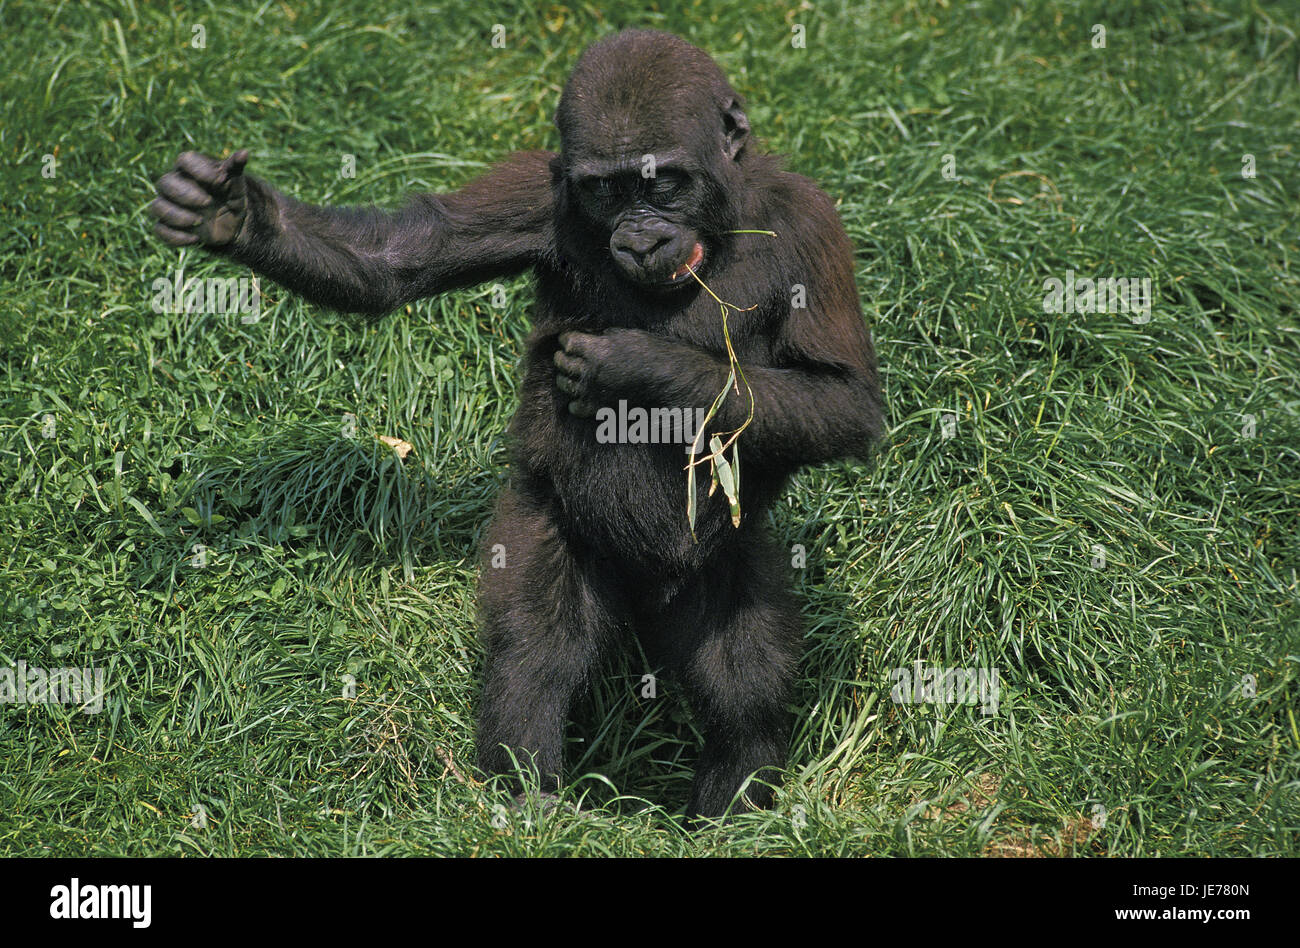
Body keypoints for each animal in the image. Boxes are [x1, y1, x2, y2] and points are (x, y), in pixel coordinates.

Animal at [149, 27, 883, 811]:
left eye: (662, 182)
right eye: (605, 189)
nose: (640, 239)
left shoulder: (810, 223)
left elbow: (843, 399)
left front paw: (638, 365)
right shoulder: (541, 190)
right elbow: (395, 260)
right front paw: (238, 215)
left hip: (724, 552)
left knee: (743, 678)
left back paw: (732, 806)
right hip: (551, 513)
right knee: (537, 649)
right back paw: (528, 796)